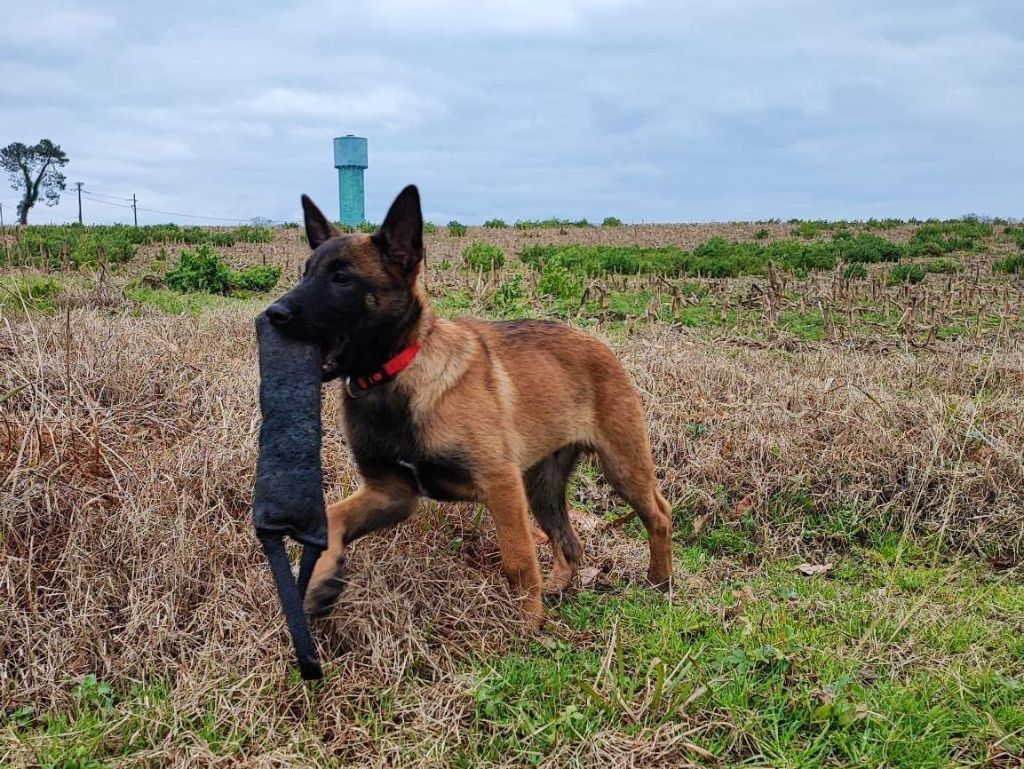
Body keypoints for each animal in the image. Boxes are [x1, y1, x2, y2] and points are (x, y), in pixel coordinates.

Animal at [266, 188, 671, 630]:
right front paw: (320, 580)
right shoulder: (391, 493)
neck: (396, 374)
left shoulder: (500, 484)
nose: (273, 315)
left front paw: (527, 627)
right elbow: (334, 516)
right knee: (570, 542)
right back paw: (560, 584)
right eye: (306, 273)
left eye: (343, 278)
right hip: (542, 484)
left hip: (621, 464)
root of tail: (596, 341)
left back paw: (660, 581)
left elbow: (518, 560)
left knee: (660, 513)